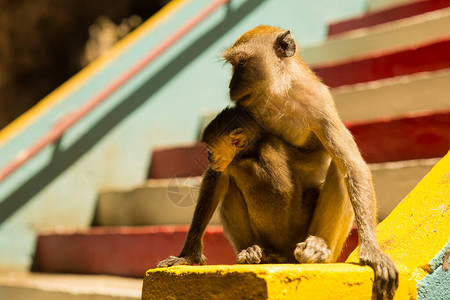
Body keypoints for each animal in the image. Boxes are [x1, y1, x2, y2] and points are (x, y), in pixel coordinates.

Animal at [156, 106, 332, 266]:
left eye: (211, 150)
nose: (208, 157)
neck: (252, 151)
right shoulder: (271, 144)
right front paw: (189, 256)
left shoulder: (240, 158)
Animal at [221, 26, 398, 300]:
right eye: (233, 65)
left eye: (241, 63)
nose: (231, 84)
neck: (279, 94)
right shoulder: (246, 110)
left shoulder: (319, 102)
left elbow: (353, 168)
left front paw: (371, 250)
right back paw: (253, 252)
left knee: (339, 173)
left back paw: (317, 251)